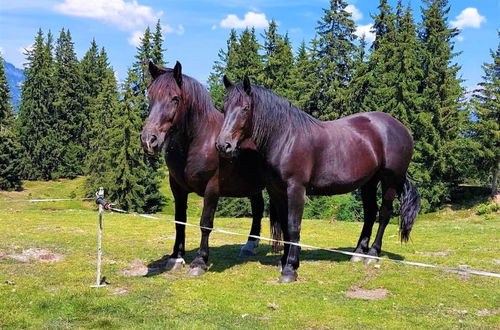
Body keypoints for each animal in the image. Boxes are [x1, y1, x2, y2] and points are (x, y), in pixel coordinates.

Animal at [141, 62, 282, 276]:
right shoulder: (177, 188)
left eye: (175, 98)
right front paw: (176, 257)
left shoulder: (212, 188)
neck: (197, 140)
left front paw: (200, 261)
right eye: (149, 96)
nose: (149, 140)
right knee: (257, 208)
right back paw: (249, 245)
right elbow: (179, 221)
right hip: (252, 186)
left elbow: (205, 223)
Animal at [217, 76, 420, 282]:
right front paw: (284, 262)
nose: (223, 145)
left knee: (384, 213)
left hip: (390, 181)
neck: (286, 138)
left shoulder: (296, 189)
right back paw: (357, 253)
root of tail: (401, 128)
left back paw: (372, 254)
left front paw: (290, 269)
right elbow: (285, 225)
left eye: (245, 108)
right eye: (225, 106)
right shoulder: (276, 191)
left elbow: (293, 226)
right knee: (370, 213)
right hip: (369, 182)